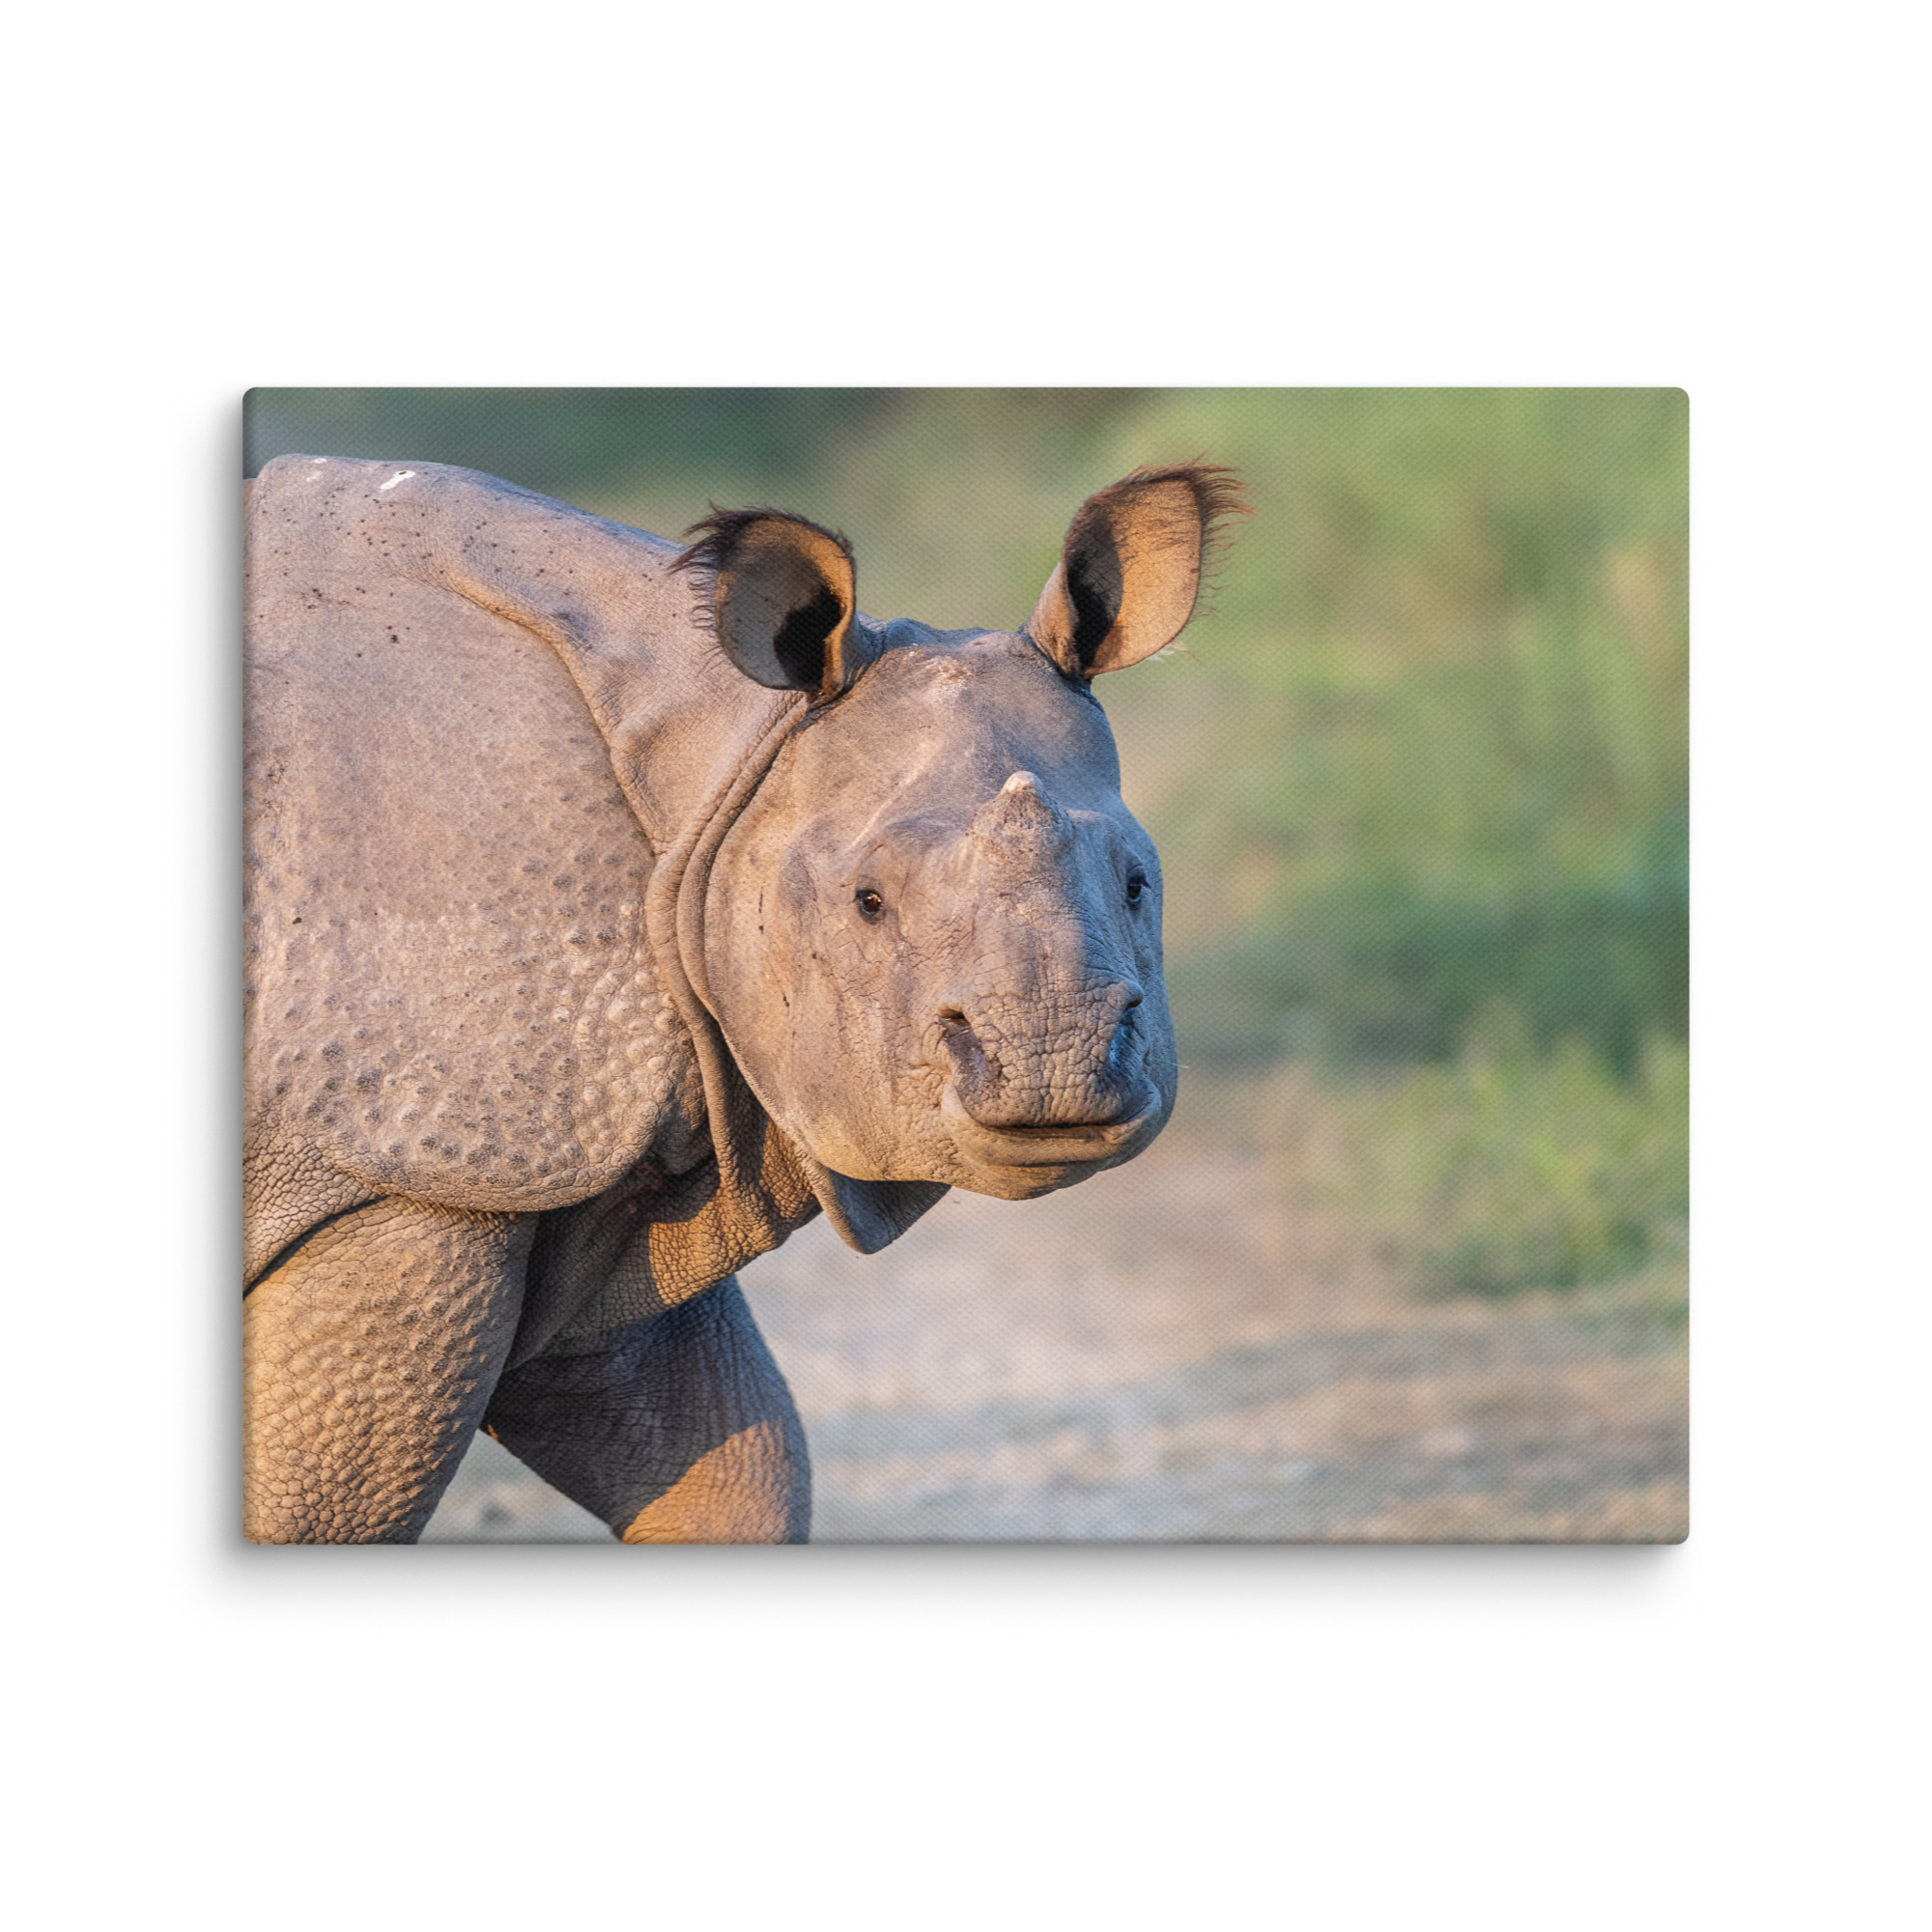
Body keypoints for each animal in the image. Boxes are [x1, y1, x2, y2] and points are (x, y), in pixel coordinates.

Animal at [244, 452, 1243, 1542]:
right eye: (867, 902)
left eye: (1137, 885)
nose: (1054, 1063)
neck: (727, 762)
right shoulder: (417, 1170)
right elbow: (321, 1513)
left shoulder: (573, 1175)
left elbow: (736, 1462)